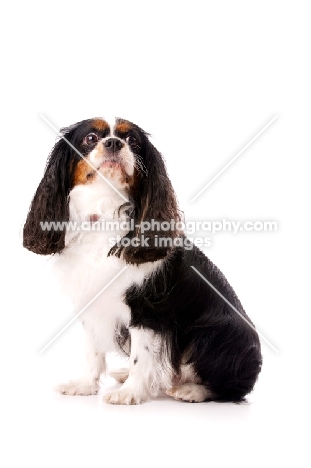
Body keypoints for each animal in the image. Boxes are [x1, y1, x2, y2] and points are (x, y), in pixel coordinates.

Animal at [23, 116, 264, 402]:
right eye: (91, 138)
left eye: (132, 141)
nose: (114, 143)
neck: (105, 212)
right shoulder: (91, 303)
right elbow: (93, 351)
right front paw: (85, 385)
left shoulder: (146, 309)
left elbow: (142, 354)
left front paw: (130, 393)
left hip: (213, 333)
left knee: (232, 386)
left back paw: (193, 390)